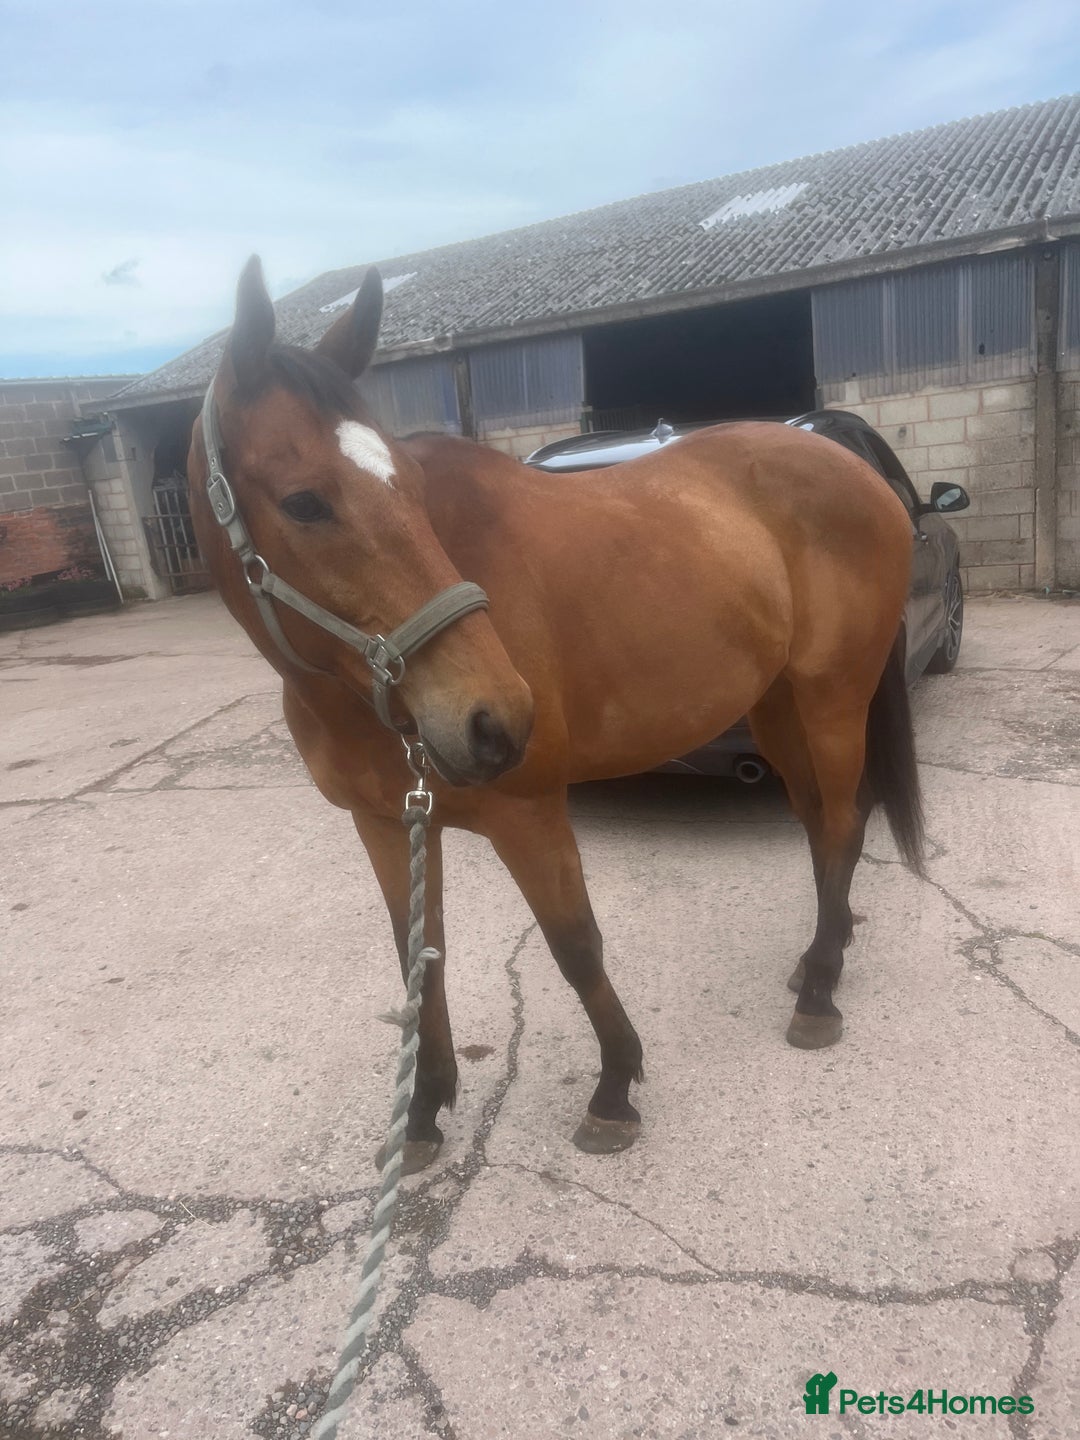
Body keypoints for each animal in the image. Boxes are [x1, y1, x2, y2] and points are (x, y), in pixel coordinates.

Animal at [188, 257, 923, 1170]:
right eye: (302, 502)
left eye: (413, 486)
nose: (493, 718)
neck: (358, 698)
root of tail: (861, 471)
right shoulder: (388, 822)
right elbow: (418, 957)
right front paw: (423, 1113)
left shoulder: (528, 810)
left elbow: (575, 944)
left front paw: (614, 1087)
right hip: (781, 709)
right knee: (825, 823)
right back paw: (825, 953)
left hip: (830, 700)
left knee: (843, 825)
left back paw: (819, 994)